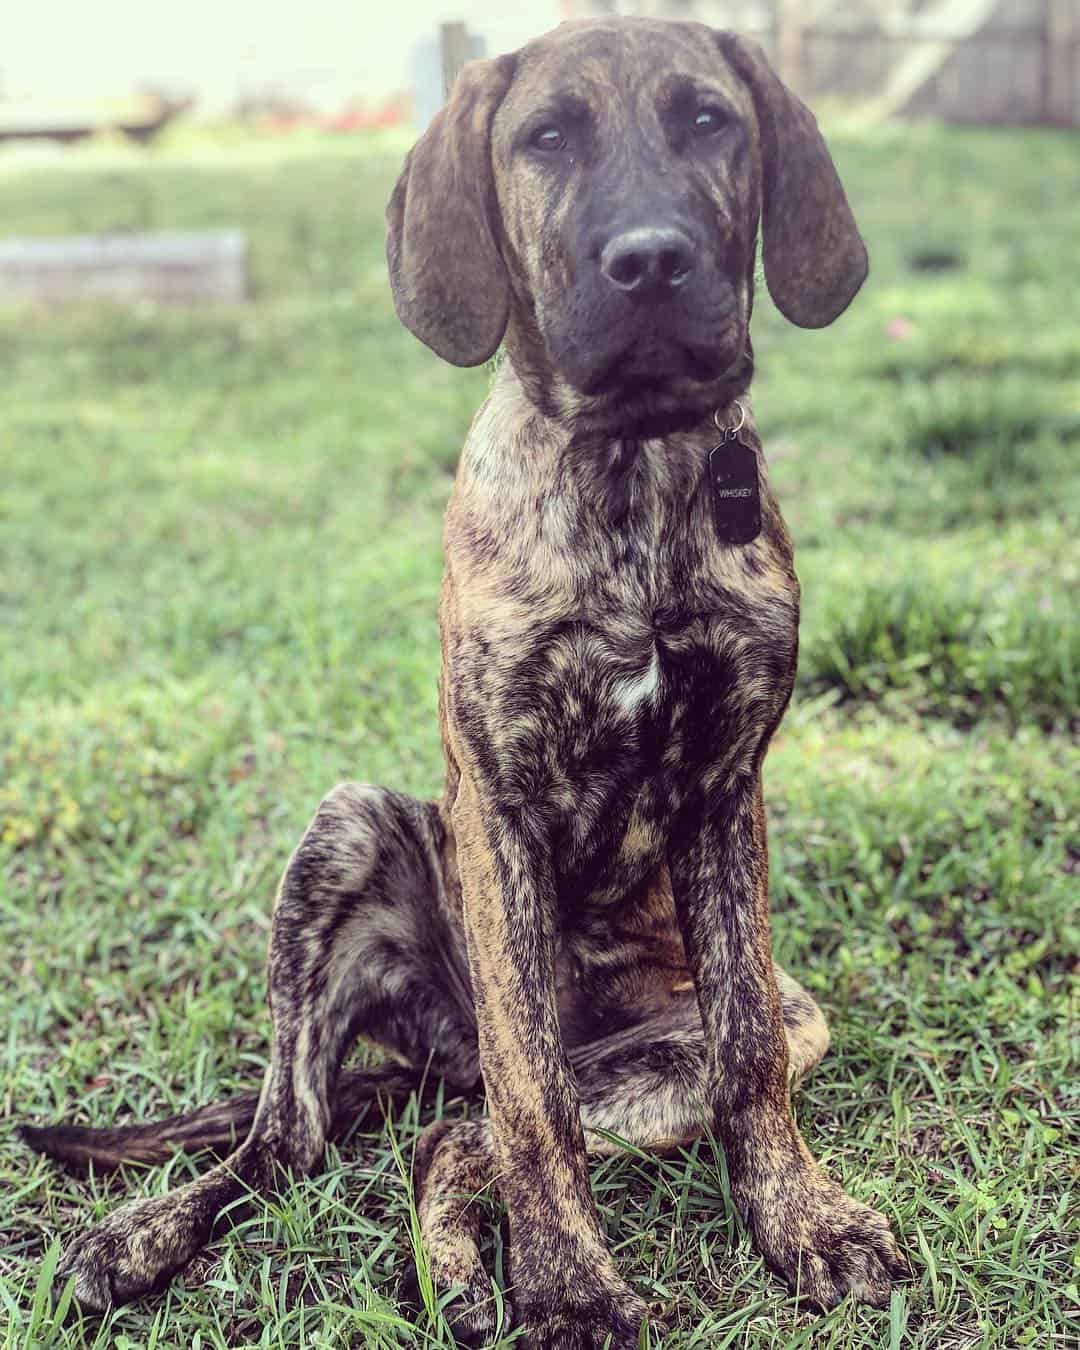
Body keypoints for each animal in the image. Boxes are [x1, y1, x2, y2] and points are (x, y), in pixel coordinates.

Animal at [21, 21, 907, 1350]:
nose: (651, 259)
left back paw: (462, 1276)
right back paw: (149, 1237)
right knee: (314, 1133)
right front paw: (571, 1283)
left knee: (447, 1127)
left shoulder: (725, 790)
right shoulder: (499, 809)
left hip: (689, 1047)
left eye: (710, 121)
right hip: (348, 838)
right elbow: (532, 1099)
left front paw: (802, 1218)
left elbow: (746, 1049)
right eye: (546, 138)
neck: (630, 470)